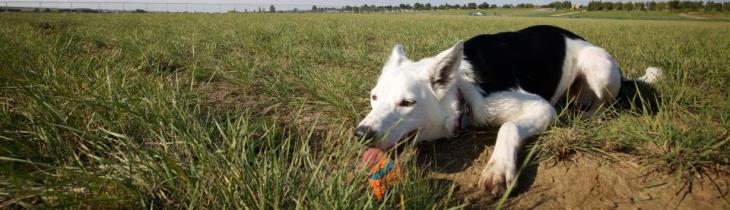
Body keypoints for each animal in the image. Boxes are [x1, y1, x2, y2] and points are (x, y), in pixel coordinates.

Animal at [352, 25, 660, 195]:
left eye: (407, 103)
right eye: (374, 97)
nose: (361, 134)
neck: (459, 89)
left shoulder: (540, 108)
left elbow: (508, 126)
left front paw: (498, 169)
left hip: (600, 68)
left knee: (606, 105)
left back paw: (585, 116)